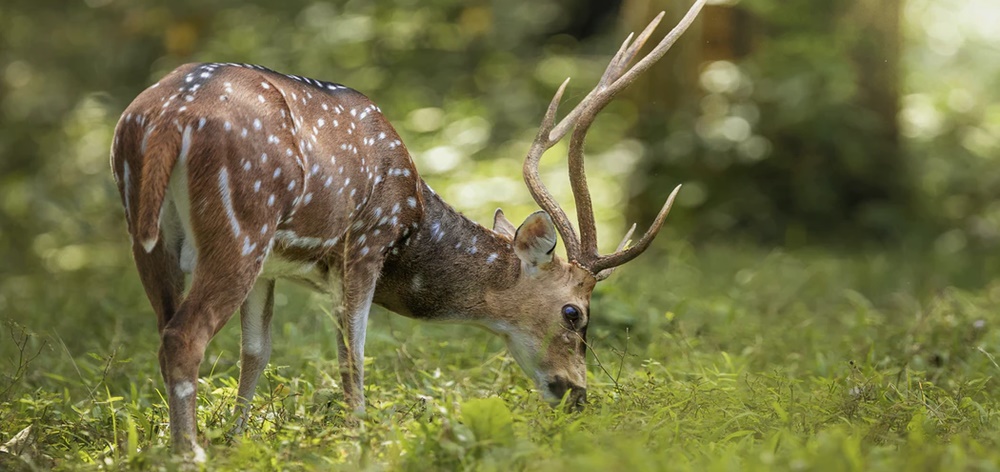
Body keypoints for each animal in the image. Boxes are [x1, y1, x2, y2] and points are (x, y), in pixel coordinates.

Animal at [107, 0, 704, 460]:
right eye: (574, 312)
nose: (578, 394)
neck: (413, 219)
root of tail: (166, 118)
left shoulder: (275, 267)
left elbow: (256, 351)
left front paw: (239, 440)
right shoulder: (366, 242)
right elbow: (352, 353)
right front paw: (358, 440)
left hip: (154, 235)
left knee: (164, 329)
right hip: (242, 223)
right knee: (185, 335)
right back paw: (189, 453)